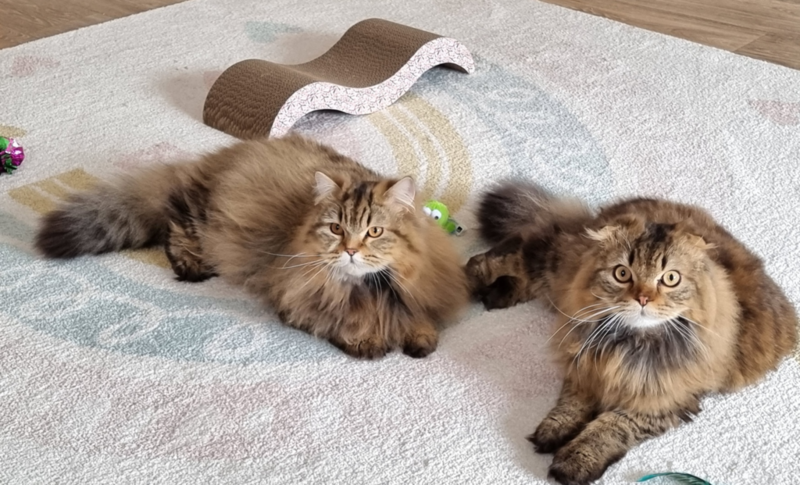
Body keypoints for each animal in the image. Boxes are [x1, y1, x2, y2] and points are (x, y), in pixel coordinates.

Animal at [35, 135, 470, 360]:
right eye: (336, 228)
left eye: (374, 232)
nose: (350, 250)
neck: (369, 290)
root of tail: (222, 156)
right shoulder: (297, 299)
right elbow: (343, 324)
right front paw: (368, 340)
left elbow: (420, 322)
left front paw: (418, 337)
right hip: (203, 217)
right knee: (174, 225)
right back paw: (192, 264)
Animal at [465, 181, 798, 485]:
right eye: (622, 273)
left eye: (670, 279)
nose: (643, 298)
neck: (629, 345)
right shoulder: (585, 364)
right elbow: (571, 405)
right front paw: (553, 432)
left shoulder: (660, 400)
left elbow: (608, 427)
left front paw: (572, 463)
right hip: (557, 264)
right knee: (508, 251)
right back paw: (472, 281)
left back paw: (497, 293)